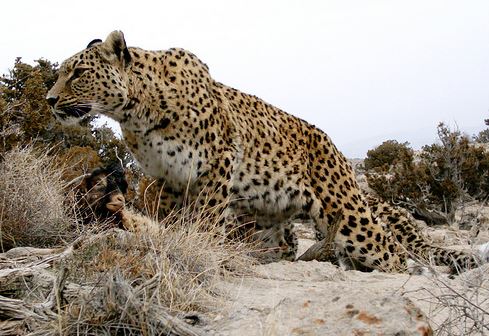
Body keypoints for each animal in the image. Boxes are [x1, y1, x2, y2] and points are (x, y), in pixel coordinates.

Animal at [47, 30, 478, 272]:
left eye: (78, 73)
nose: (50, 99)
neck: (137, 111)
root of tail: (336, 148)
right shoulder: (165, 178)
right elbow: (167, 217)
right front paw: (168, 240)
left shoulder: (217, 163)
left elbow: (206, 217)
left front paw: (200, 247)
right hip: (269, 219)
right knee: (290, 246)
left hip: (348, 214)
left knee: (392, 251)